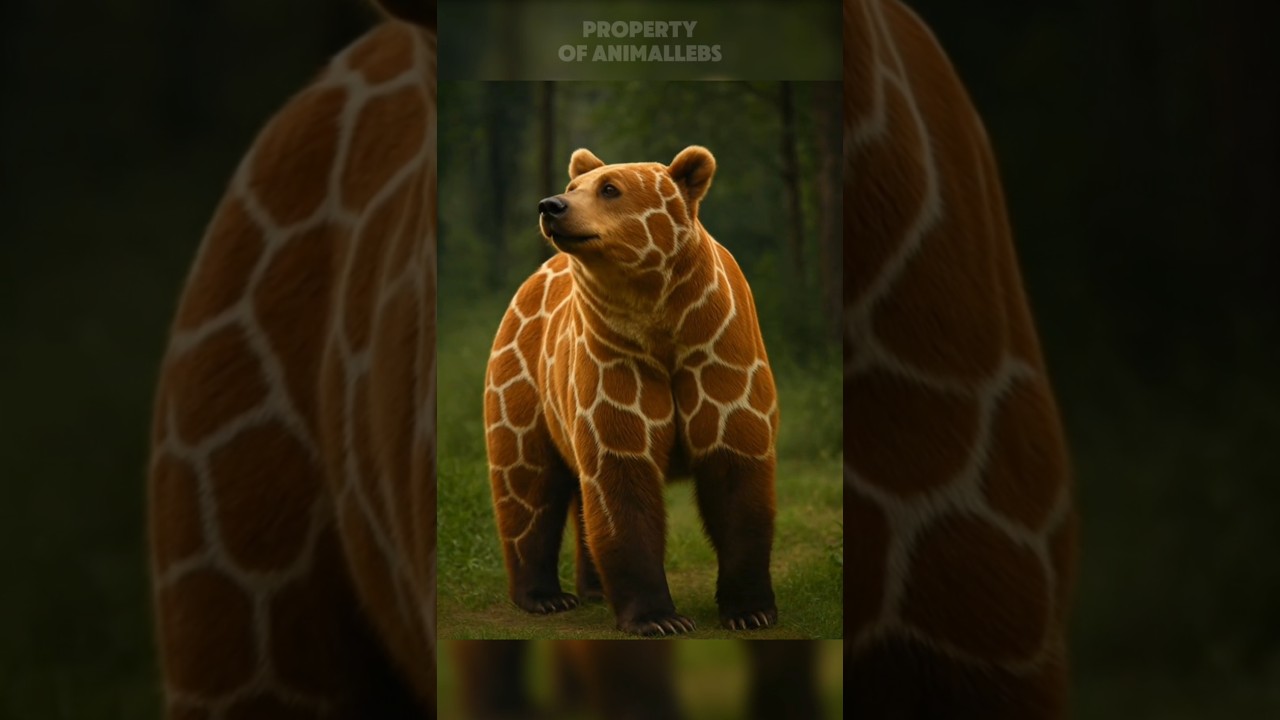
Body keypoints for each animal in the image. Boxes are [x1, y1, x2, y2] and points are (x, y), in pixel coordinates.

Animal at [483, 146, 780, 636]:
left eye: (610, 188)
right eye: (573, 186)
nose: (552, 206)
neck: (660, 317)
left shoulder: (717, 351)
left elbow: (736, 470)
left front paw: (750, 609)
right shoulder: (616, 361)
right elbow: (621, 476)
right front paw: (659, 617)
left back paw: (594, 588)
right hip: (523, 381)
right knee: (526, 481)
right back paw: (544, 595)